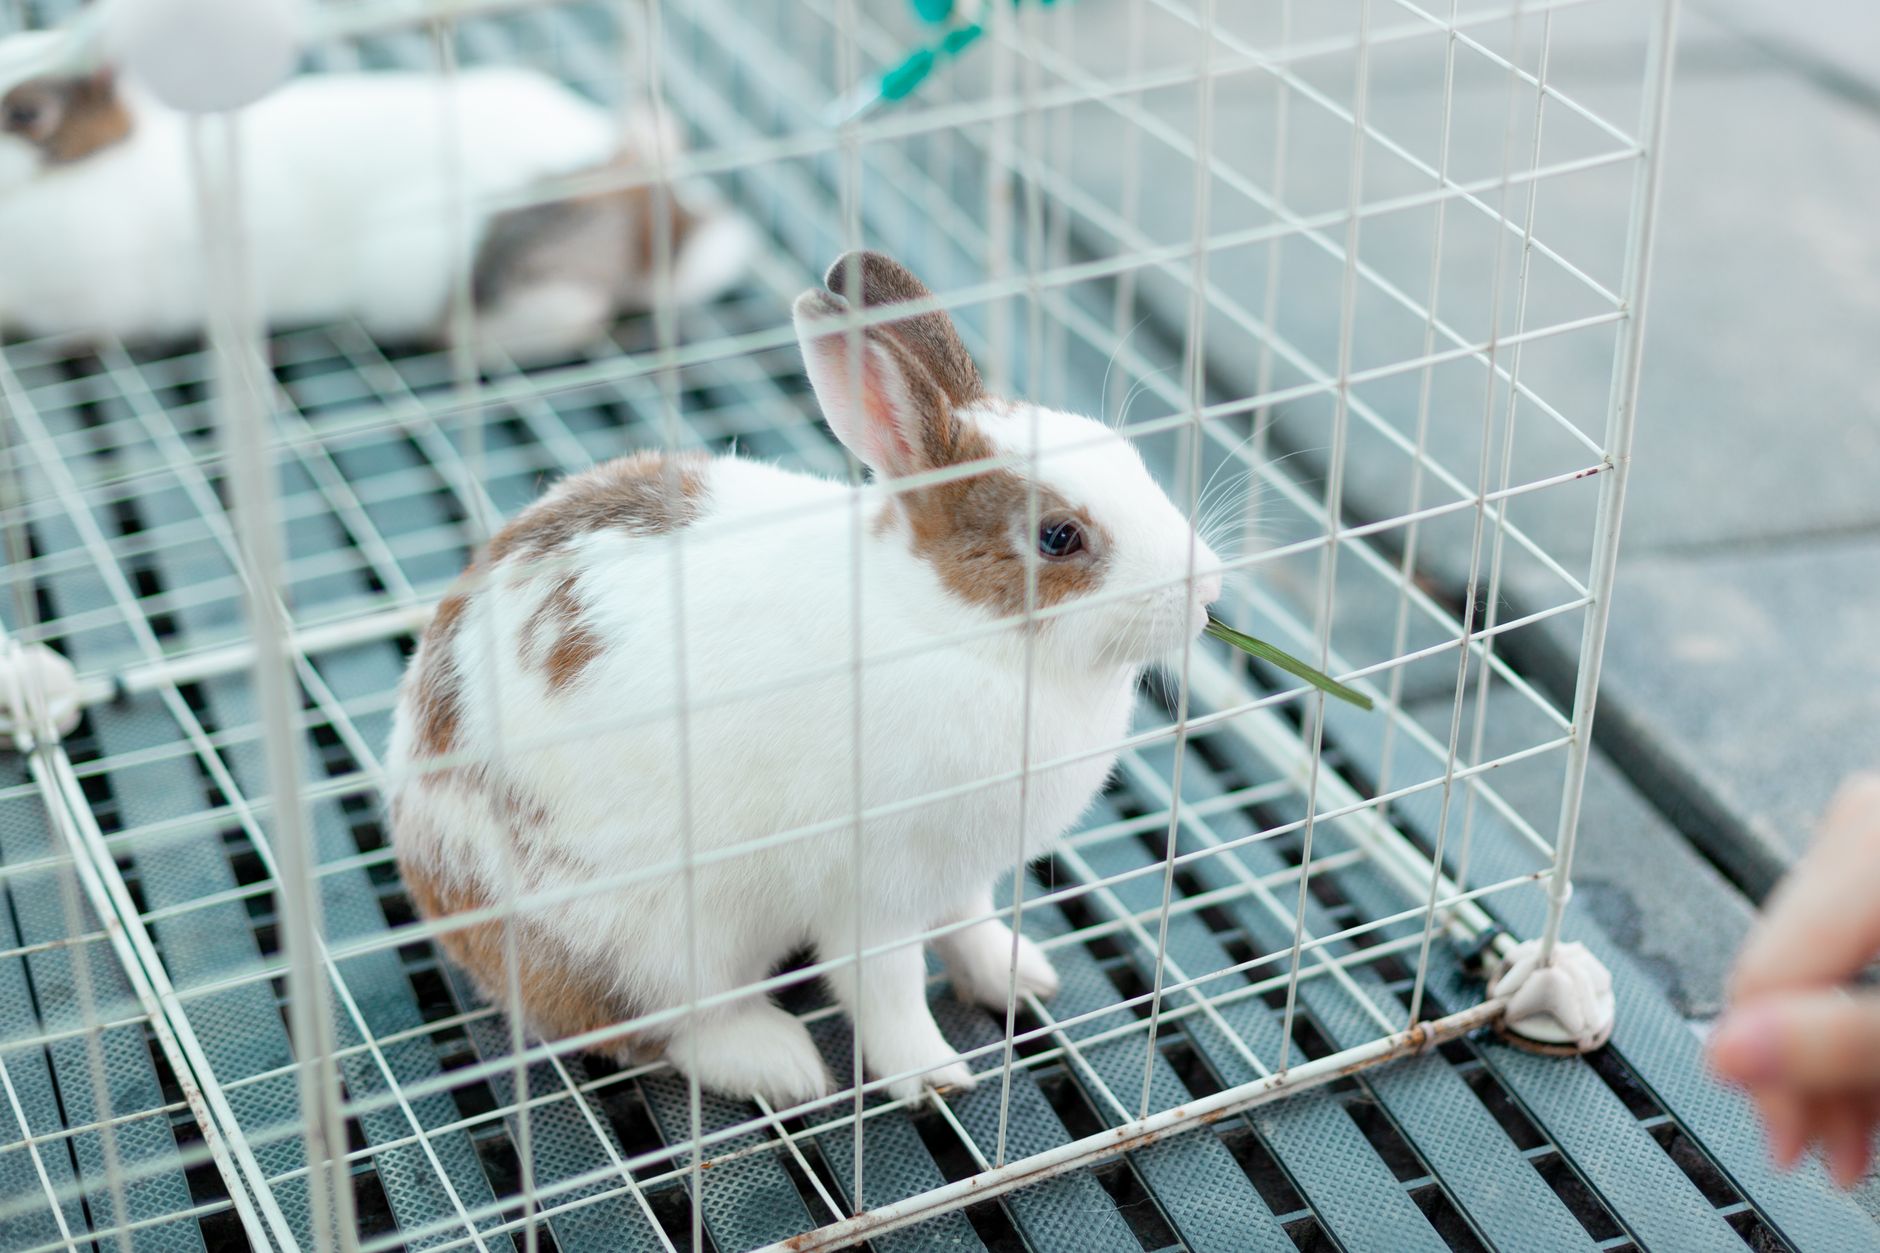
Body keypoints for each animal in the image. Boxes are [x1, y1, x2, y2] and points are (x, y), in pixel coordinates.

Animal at [385, 250, 1225, 1107]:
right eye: (1059, 537)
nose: (1208, 587)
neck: (953, 625)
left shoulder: (961, 873)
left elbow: (971, 928)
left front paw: (1020, 977)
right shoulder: (873, 890)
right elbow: (887, 987)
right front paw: (933, 1076)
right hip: (652, 939)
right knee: (659, 1027)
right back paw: (782, 1063)